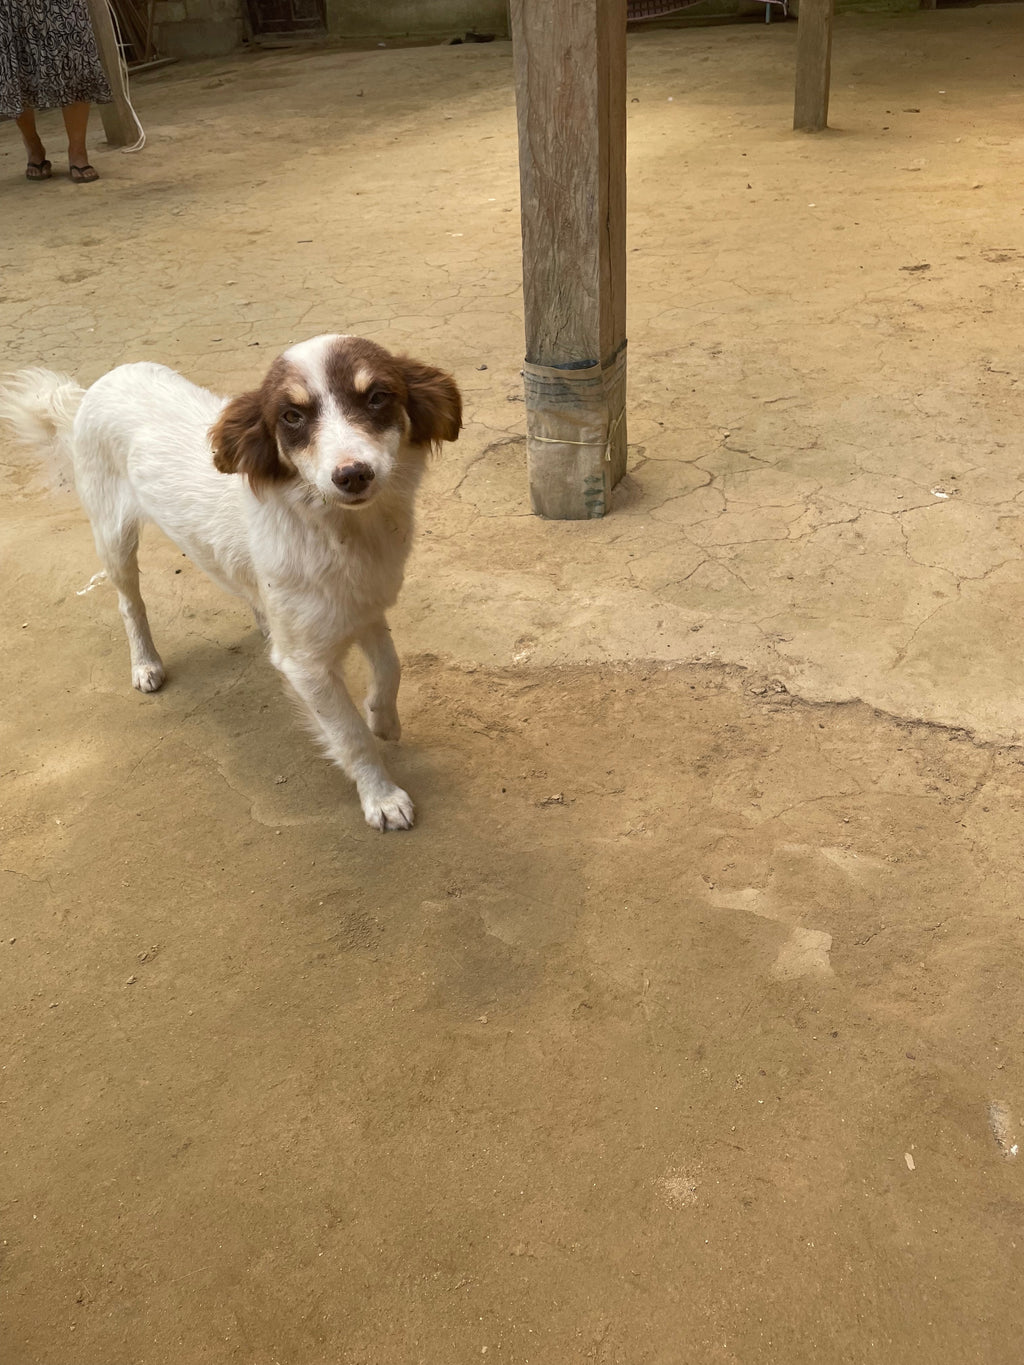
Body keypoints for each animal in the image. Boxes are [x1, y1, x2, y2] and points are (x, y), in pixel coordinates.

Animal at [0, 338, 464, 829]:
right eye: (291, 416)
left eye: (377, 397)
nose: (352, 474)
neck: (341, 529)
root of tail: (93, 389)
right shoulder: (306, 664)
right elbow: (350, 734)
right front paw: (381, 796)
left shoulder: (364, 604)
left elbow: (391, 666)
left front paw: (384, 719)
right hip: (113, 536)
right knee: (129, 603)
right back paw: (145, 663)